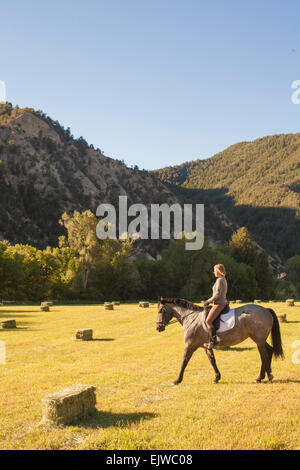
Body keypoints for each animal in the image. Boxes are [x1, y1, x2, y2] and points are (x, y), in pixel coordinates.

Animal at [156, 298, 284, 386]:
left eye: (160, 310)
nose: (158, 328)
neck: (191, 318)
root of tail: (266, 310)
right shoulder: (206, 346)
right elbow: (212, 361)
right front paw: (217, 378)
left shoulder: (190, 345)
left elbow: (184, 361)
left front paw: (177, 380)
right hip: (260, 340)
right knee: (269, 350)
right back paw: (268, 375)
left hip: (258, 340)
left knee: (264, 356)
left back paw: (261, 377)